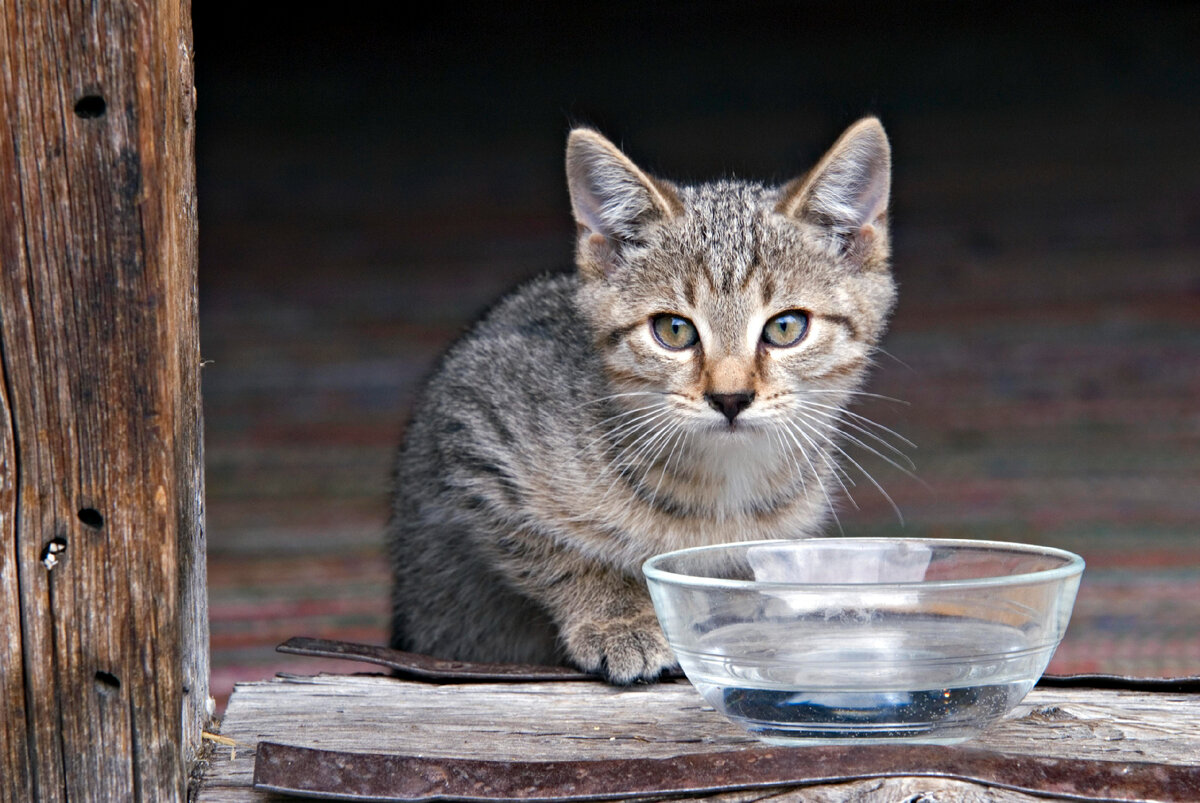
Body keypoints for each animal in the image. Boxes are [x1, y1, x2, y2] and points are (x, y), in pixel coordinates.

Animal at [388, 117, 897, 681]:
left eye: (786, 328)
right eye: (673, 330)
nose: (730, 398)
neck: (723, 484)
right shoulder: (473, 425)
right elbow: (553, 550)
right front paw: (617, 617)